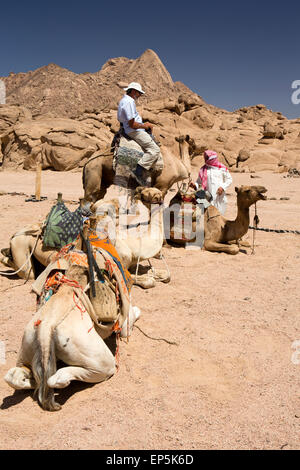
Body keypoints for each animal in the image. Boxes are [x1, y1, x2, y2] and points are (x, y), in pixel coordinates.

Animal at [4, 262, 141, 410]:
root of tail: (46, 326)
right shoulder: (123, 319)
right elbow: (131, 319)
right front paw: (137, 312)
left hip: (28, 345)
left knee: (14, 376)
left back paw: (33, 381)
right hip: (99, 357)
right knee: (59, 378)